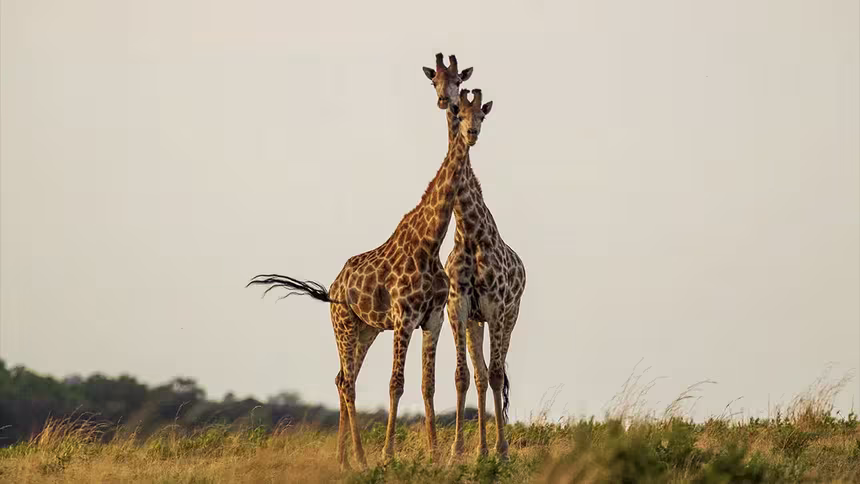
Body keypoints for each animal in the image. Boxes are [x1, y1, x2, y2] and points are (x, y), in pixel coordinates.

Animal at [247, 87, 492, 469]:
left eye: (480, 116)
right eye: (459, 113)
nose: (471, 134)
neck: (429, 243)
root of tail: (333, 289)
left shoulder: (432, 319)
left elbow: (427, 384)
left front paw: (435, 453)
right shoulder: (404, 317)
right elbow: (396, 383)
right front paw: (389, 454)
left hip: (367, 330)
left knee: (341, 379)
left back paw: (344, 459)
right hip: (345, 325)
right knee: (348, 382)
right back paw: (360, 459)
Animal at [422, 55, 527, 459]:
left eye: (479, 114)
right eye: (435, 80)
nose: (444, 101)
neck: (469, 232)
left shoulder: (496, 307)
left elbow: (496, 375)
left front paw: (500, 448)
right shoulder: (459, 307)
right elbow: (463, 376)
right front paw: (458, 449)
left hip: (509, 317)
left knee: (495, 373)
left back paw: (496, 445)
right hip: (475, 323)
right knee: (481, 375)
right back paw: (480, 446)